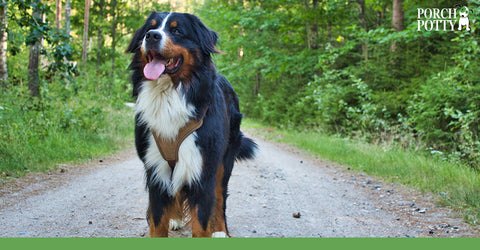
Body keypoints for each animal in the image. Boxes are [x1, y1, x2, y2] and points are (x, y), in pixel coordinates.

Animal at [125, 11, 256, 237]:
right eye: (149, 28)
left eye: (177, 30)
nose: (152, 36)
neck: (169, 94)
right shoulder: (155, 171)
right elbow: (158, 223)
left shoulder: (203, 170)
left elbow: (202, 223)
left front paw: (212, 230)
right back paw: (176, 219)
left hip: (224, 161)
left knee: (220, 197)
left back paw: (220, 231)